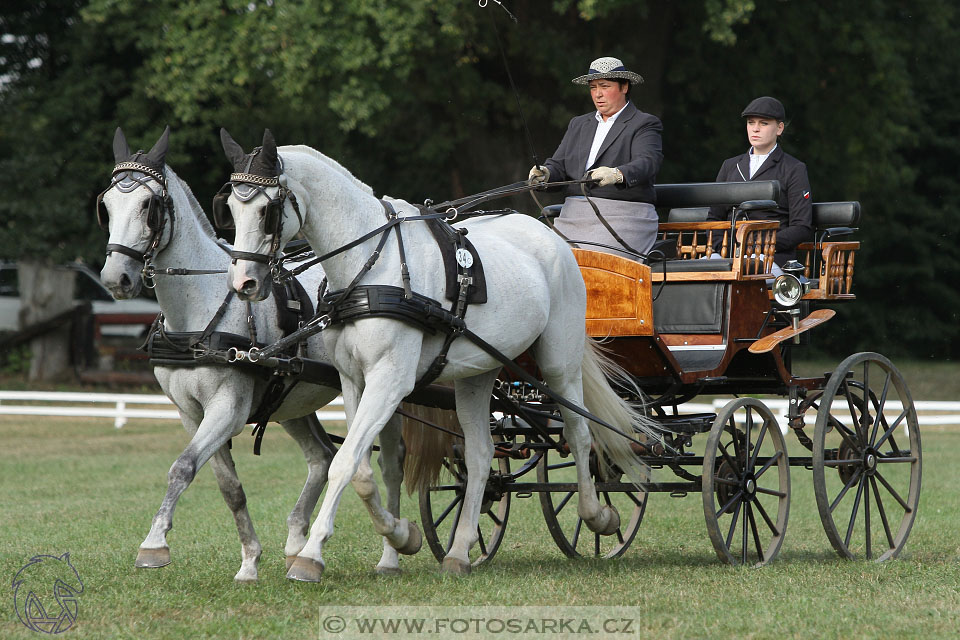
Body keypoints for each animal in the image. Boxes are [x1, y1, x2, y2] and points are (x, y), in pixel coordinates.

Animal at [97, 127, 408, 584]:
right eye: (106, 206)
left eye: (148, 206)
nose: (115, 278)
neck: (199, 310)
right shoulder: (190, 413)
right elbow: (229, 488)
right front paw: (249, 561)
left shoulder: (227, 407)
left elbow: (182, 467)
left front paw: (153, 545)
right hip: (294, 400)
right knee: (322, 457)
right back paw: (297, 543)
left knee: (391, 462)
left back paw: (391, 551)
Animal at [220, 129, 648, 580]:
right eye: (230, 207)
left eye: (266, 210)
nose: (244, 283)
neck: (370, 265)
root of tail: (553, 239)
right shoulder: (354, 380)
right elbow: (362, 470)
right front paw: (401, 536)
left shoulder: (390, 380)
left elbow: (345, 463)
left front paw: (311, 556)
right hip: (478, 373)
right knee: (480, 455)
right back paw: (459, 551)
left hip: (559, 361)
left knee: (580, 433)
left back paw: (598, 515)